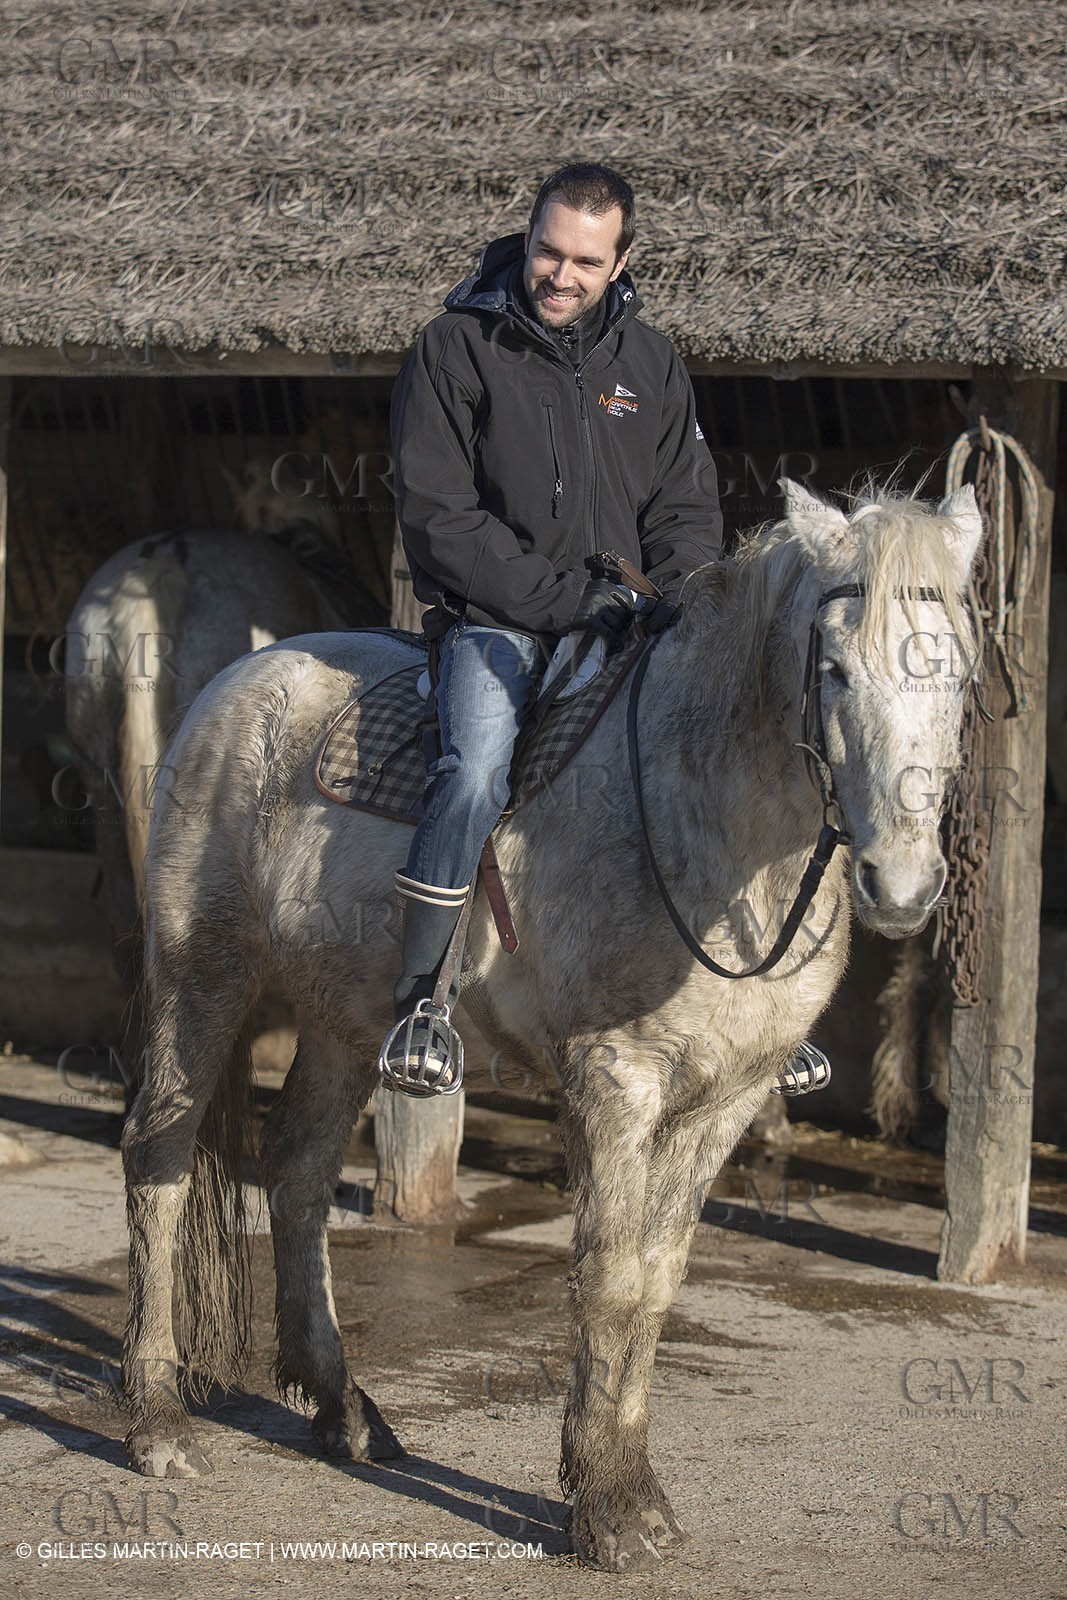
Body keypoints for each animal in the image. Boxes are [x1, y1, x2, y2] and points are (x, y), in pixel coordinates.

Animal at [120, 479, 982, 1571]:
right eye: (831, 669)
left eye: (957, 673)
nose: (900, 886)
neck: (703, 813)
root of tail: (238, 679)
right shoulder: (615, 1080)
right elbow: (607, 1278)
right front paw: (608, 1507)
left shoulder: (727, 1100)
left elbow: (657, 1280)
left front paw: (630, 1486)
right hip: (204, 975)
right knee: (159, 1160)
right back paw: (157, 1423)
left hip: (344, 1018)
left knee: (299, 1170)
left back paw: (343, 1409)